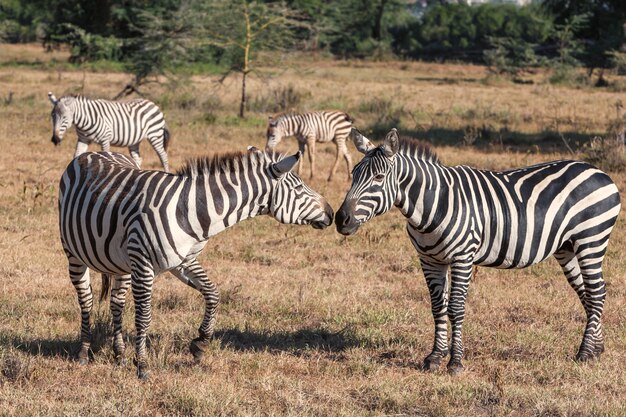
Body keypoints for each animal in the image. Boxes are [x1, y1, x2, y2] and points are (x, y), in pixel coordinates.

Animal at [58, 146, 332, 376]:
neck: (193, 211)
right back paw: (84, 352)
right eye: (299, 188)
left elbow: (213, 293)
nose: (330, 212)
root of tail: (93, 152)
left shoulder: (184, 262)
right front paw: (143, 365)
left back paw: (119, 354)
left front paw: (200, 344)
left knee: (116, 302)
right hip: (75, 253)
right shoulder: (144, 265)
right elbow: (144, 316)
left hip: (122, 261)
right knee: (86, 299)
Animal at [334, 127, 616, 374]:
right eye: (353, 174)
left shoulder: (462, 257)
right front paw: (435, 357)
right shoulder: (429, 260)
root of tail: (598, 171)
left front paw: (455, 362)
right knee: (587, 293)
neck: (433, 204)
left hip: (591, 240)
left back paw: (584, 353)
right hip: (566, 247)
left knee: (597, 292)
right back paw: (596, 349)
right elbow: (438, 307)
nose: (341, 219)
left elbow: (456, 308)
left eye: (379, 178)